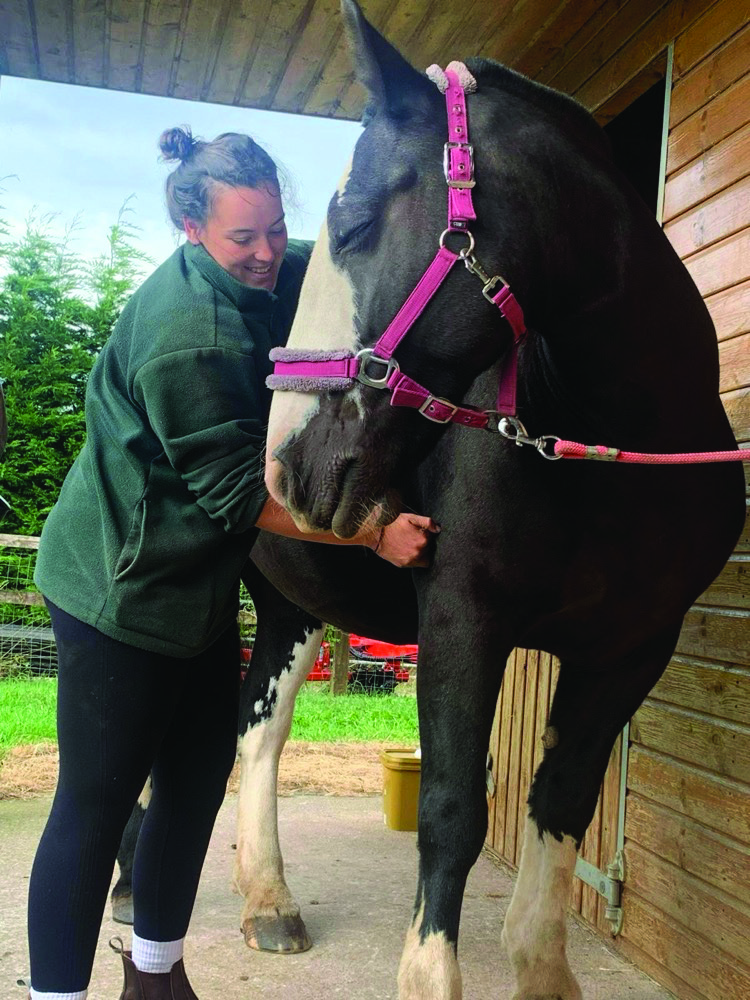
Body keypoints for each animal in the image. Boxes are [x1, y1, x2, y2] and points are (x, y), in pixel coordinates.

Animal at [256, 1, 745, 997]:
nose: (287, 466)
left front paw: (542, 968)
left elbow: (559, 799)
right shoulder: (461, 619)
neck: (612, 443)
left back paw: (249, 901)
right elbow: (453, 810)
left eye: (355, 223)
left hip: (286, 605)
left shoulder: (629, 649)